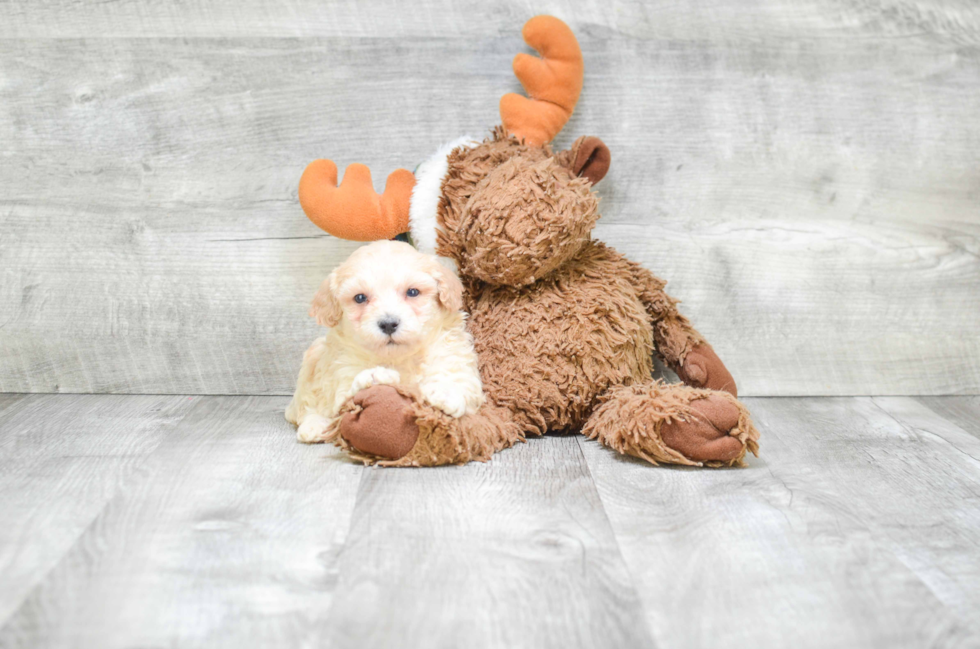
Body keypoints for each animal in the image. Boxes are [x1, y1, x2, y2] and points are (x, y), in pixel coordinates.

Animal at [286, 240, 484, 442]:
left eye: (413, 292)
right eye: (360, 298)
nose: (388, 324)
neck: (398, 358)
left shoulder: (451, 354)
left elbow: (457, 377)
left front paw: (446, 392)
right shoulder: (341, 371)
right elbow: (345, 397)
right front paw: (374, 376)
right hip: (312, 360)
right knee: (305, 404)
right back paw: (315, 425)